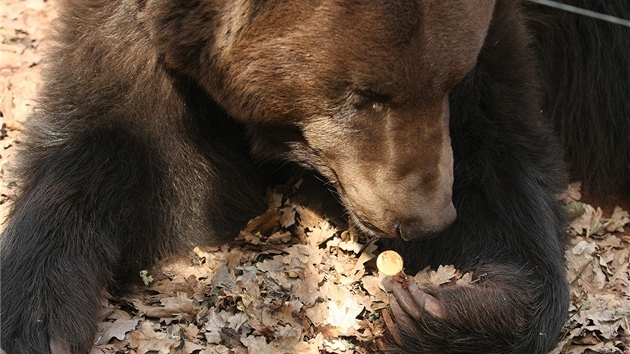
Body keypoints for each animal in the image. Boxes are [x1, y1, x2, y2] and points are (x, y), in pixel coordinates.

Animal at [6, 0, 628, 352]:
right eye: (363, 95)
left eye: (450, 79)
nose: (426, 219)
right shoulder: (145, 52)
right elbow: (112, 156)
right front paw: (43, 321)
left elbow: (499, 165)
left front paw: (449, 307)